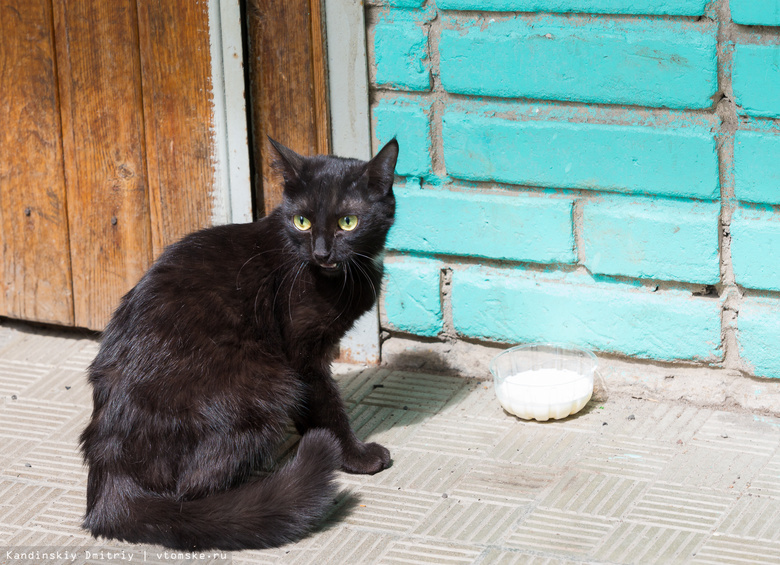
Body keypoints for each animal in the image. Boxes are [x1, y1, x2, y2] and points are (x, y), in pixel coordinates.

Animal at [79, 139, 400, 548]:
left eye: (348, 222)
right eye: (302, 221)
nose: (321, 253)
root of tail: (110, 481)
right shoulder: (302, 355)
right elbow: (327, 407)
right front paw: (356, 456)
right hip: (266, 384)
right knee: (192, 491)